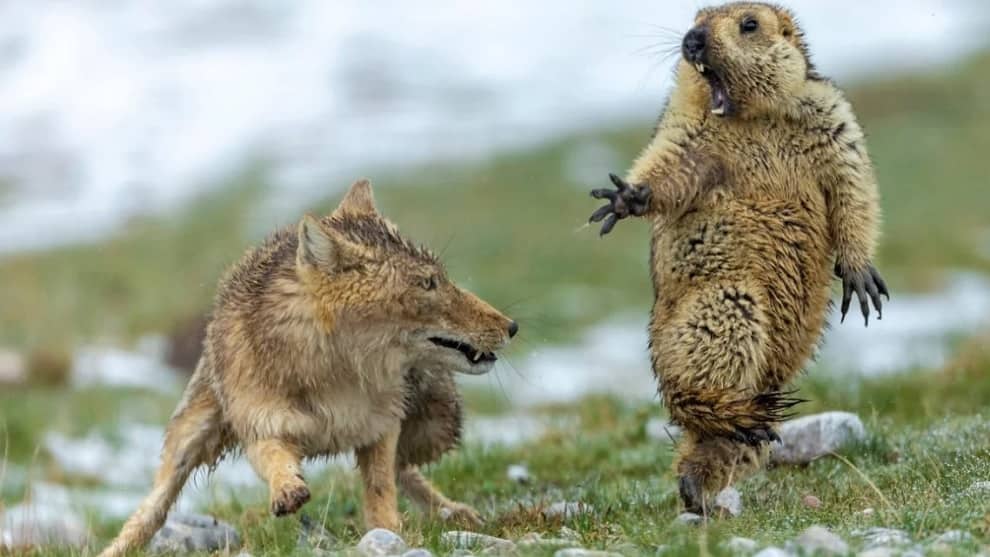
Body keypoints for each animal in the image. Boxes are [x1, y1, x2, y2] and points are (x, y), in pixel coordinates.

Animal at [99, 179, 518, 557]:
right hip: (190, 436)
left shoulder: (381, 426)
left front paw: (390, 532)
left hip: (436, 425)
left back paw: (452, 511)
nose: (512, 326)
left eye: (441, 279)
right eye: (428, 284)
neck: (336, 376)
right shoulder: (262, 426)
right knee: (153, 508)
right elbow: (275, 459)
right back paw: (118, 547)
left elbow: (381, 488)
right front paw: (288, 489)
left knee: (406, 470)